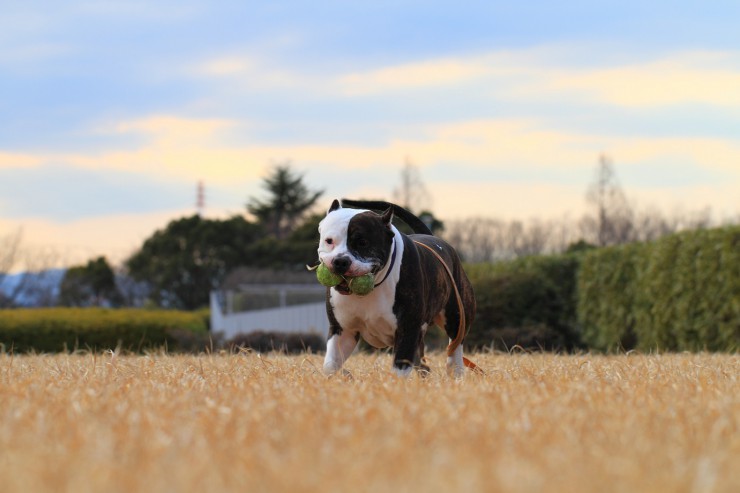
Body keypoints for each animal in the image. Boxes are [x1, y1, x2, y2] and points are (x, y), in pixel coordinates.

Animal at [316, 199, 476, 377]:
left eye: (362, 242)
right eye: (329, 241)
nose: (340, 261)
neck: (372, 288)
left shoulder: (407, 330)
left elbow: (399, 370)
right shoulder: (342, 330)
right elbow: (330, 365)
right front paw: (344, 375)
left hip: (456, 316)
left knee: (455, 346)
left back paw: (455, 371)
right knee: (423, 365)